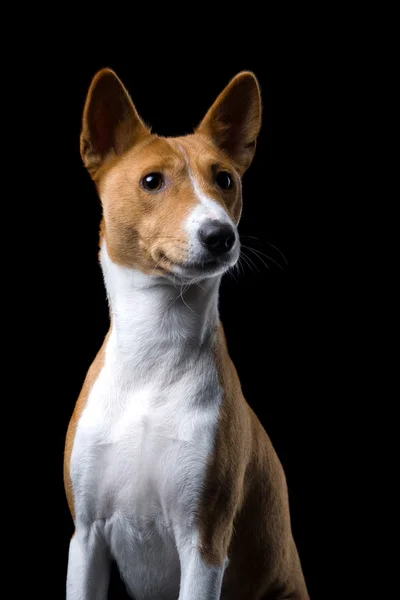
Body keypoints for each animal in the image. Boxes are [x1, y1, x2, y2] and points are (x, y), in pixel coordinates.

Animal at [65, 69, 310, 600]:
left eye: (226, 180)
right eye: (151, 181)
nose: (221, 235)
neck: (154, 358)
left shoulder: (204, 543)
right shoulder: (86, 537)